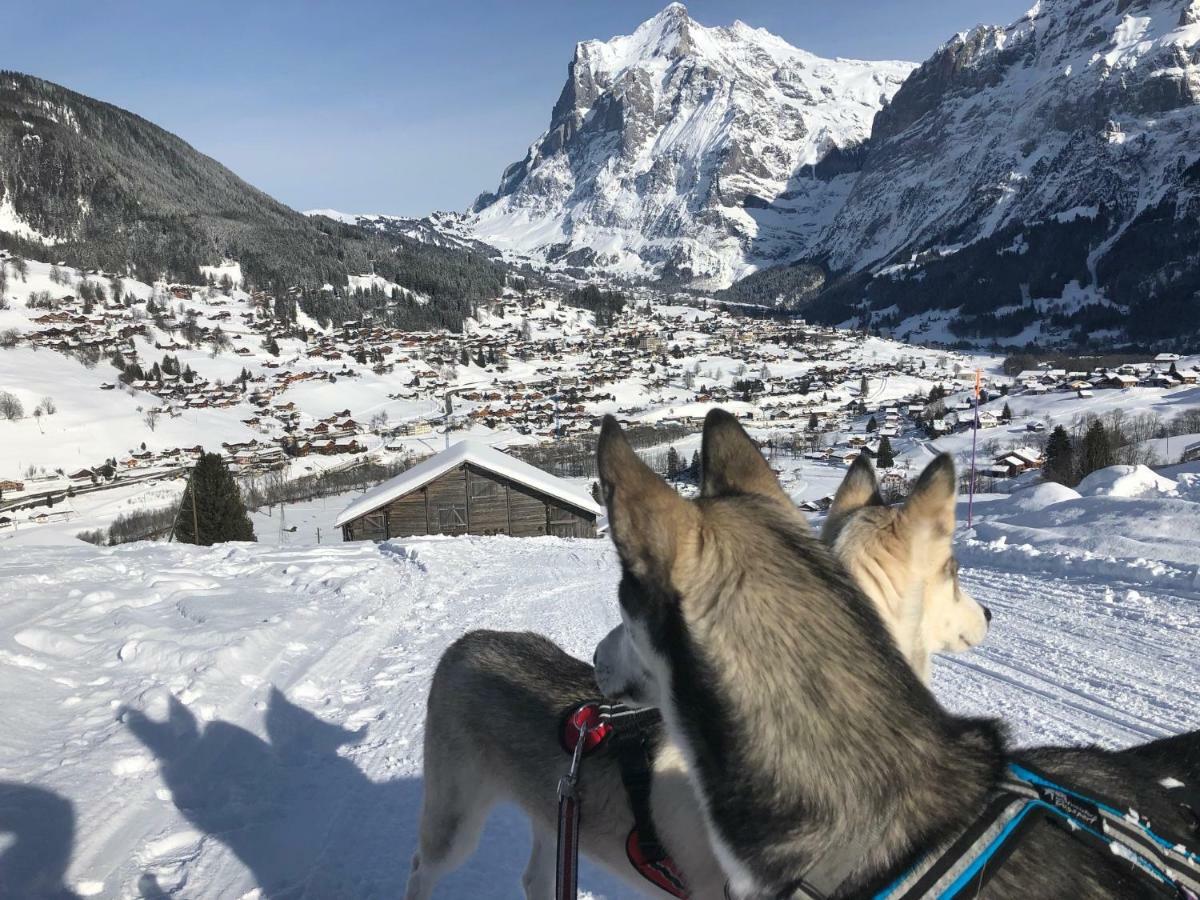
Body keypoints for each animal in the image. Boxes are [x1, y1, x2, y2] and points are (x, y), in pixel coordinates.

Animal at [408, 448, 988, 897]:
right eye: (955, 572)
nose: (986, 613)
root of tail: (466, 641)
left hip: (556, 812)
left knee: (535, 878)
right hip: (453, 825)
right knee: (422, 868)